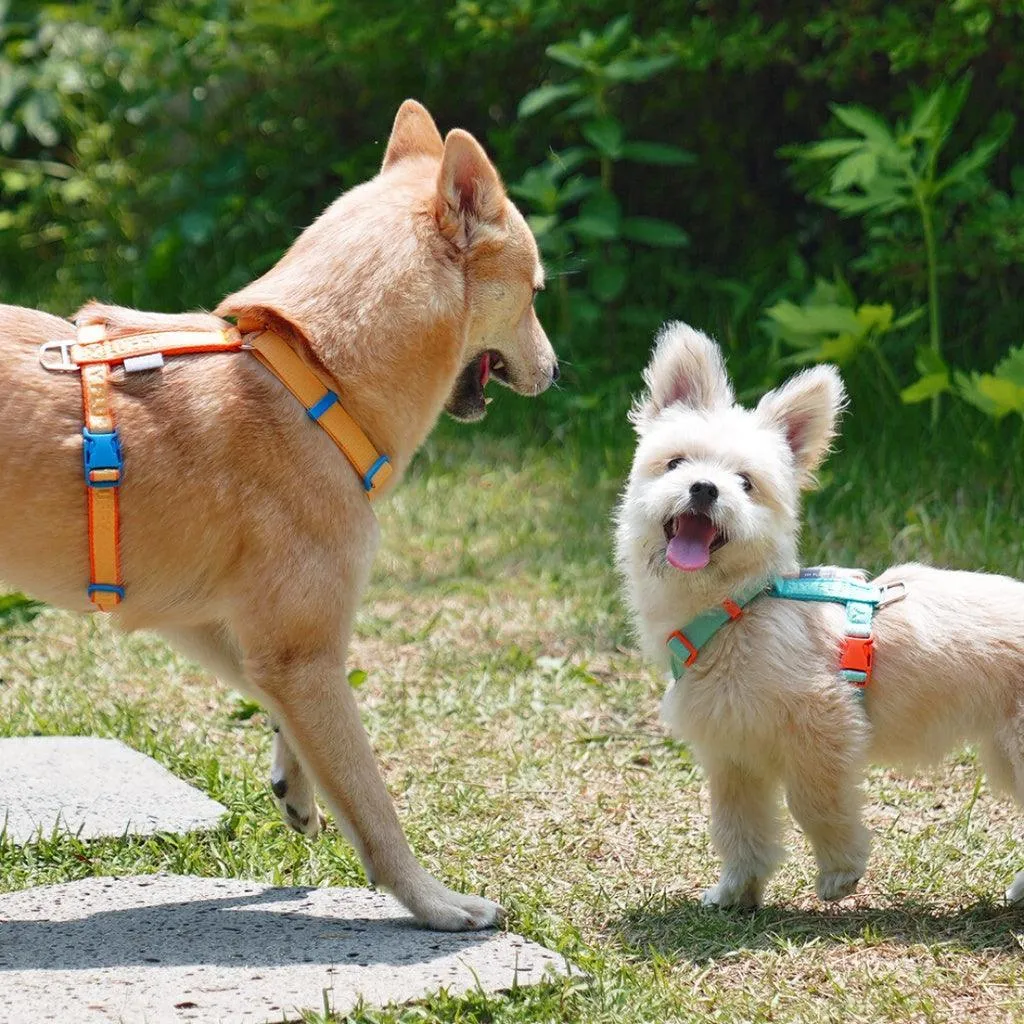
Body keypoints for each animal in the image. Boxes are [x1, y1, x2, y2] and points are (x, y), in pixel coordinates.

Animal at [0, 101, 557, 929]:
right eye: (536, 292)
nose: (555, 371)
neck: (309, 372)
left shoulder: (217, 626)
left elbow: (277, 707)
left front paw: (296, 785)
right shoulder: (303, 651)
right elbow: (373, 802)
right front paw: (433, 904)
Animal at [610, 323, 1024, 909]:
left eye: (746, 482)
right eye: (675, 463)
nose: (704, 488)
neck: (738, 611)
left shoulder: (821, 726)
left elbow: (813, 802)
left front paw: (839, 871)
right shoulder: (733, 755)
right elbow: (738, 829)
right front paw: (735, 892)